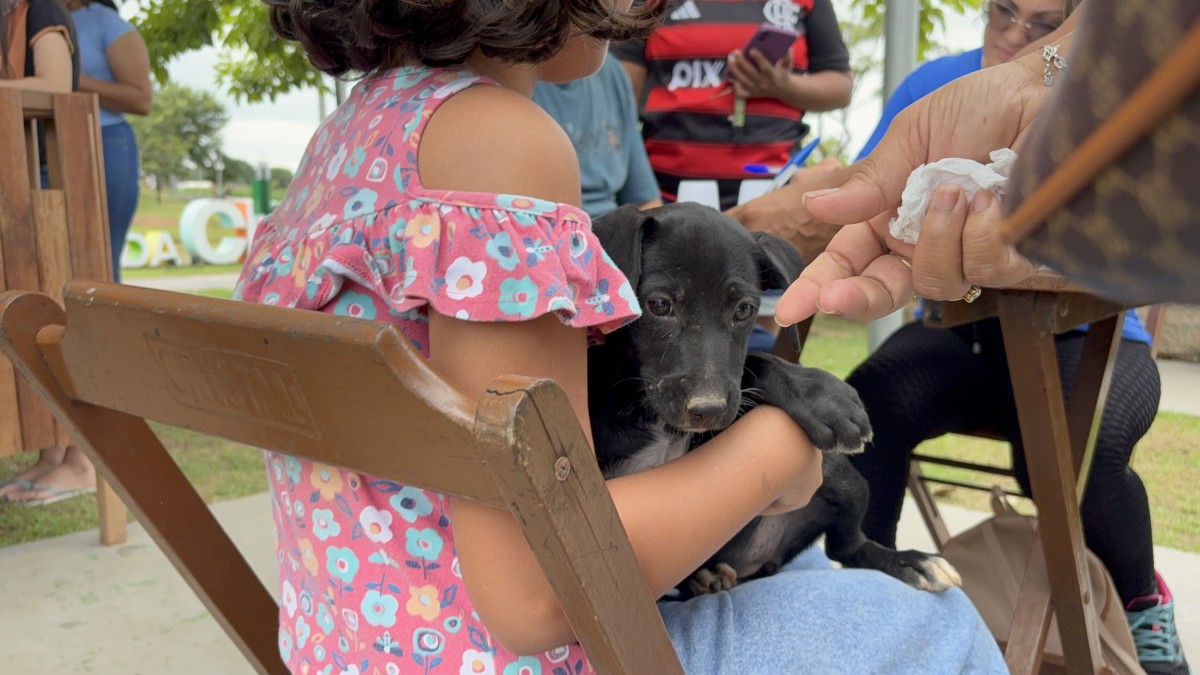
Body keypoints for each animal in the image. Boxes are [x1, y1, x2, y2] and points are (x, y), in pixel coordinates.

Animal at [588, 202, 960, 597]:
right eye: (659, 305)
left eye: (744, 310)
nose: (709, 411)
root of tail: (754, 562)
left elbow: (752, 364)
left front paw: (822, 396)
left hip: (842, 475)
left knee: (847, 547)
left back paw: (912, 563)